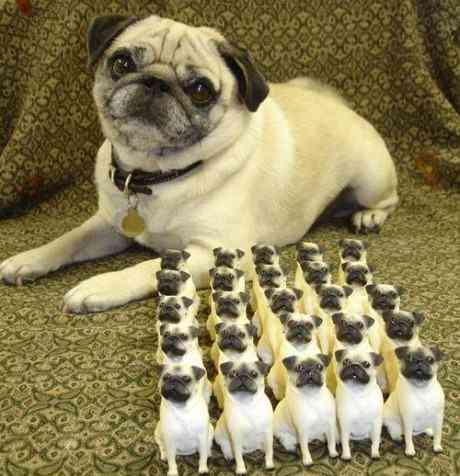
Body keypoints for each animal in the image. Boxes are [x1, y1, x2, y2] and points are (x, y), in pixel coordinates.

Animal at [0, 14, 398, 313]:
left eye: (201, 91)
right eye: (122, 63)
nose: (155, 82)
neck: (155, 176)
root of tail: (339, 104)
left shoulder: (217, 251)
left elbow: (152, 265)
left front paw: (101, 285)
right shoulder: (109, 224)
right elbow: (68, 240)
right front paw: (29, 259)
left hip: (370, 178)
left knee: (388, 199)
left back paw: (368, 216)